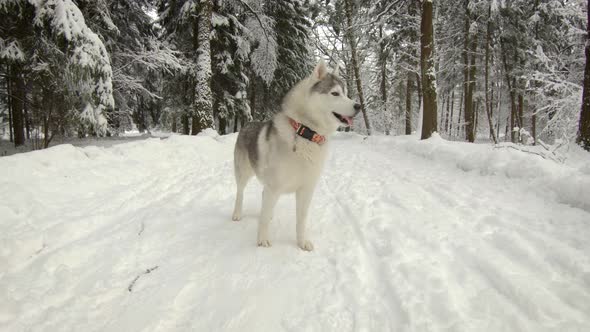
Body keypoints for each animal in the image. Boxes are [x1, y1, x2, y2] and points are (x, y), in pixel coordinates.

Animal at [231, 60, 360, 252]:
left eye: (346, 94)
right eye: (335, 93)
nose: (358, 106)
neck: (306, 133)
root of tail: (247, 123)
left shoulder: (306, 190)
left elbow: (301, 220)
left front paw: (301, 242)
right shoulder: (274, 186)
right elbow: (263, 219)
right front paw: (262, 240)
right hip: (243, 173)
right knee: (240, 193)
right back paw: (237, 213)